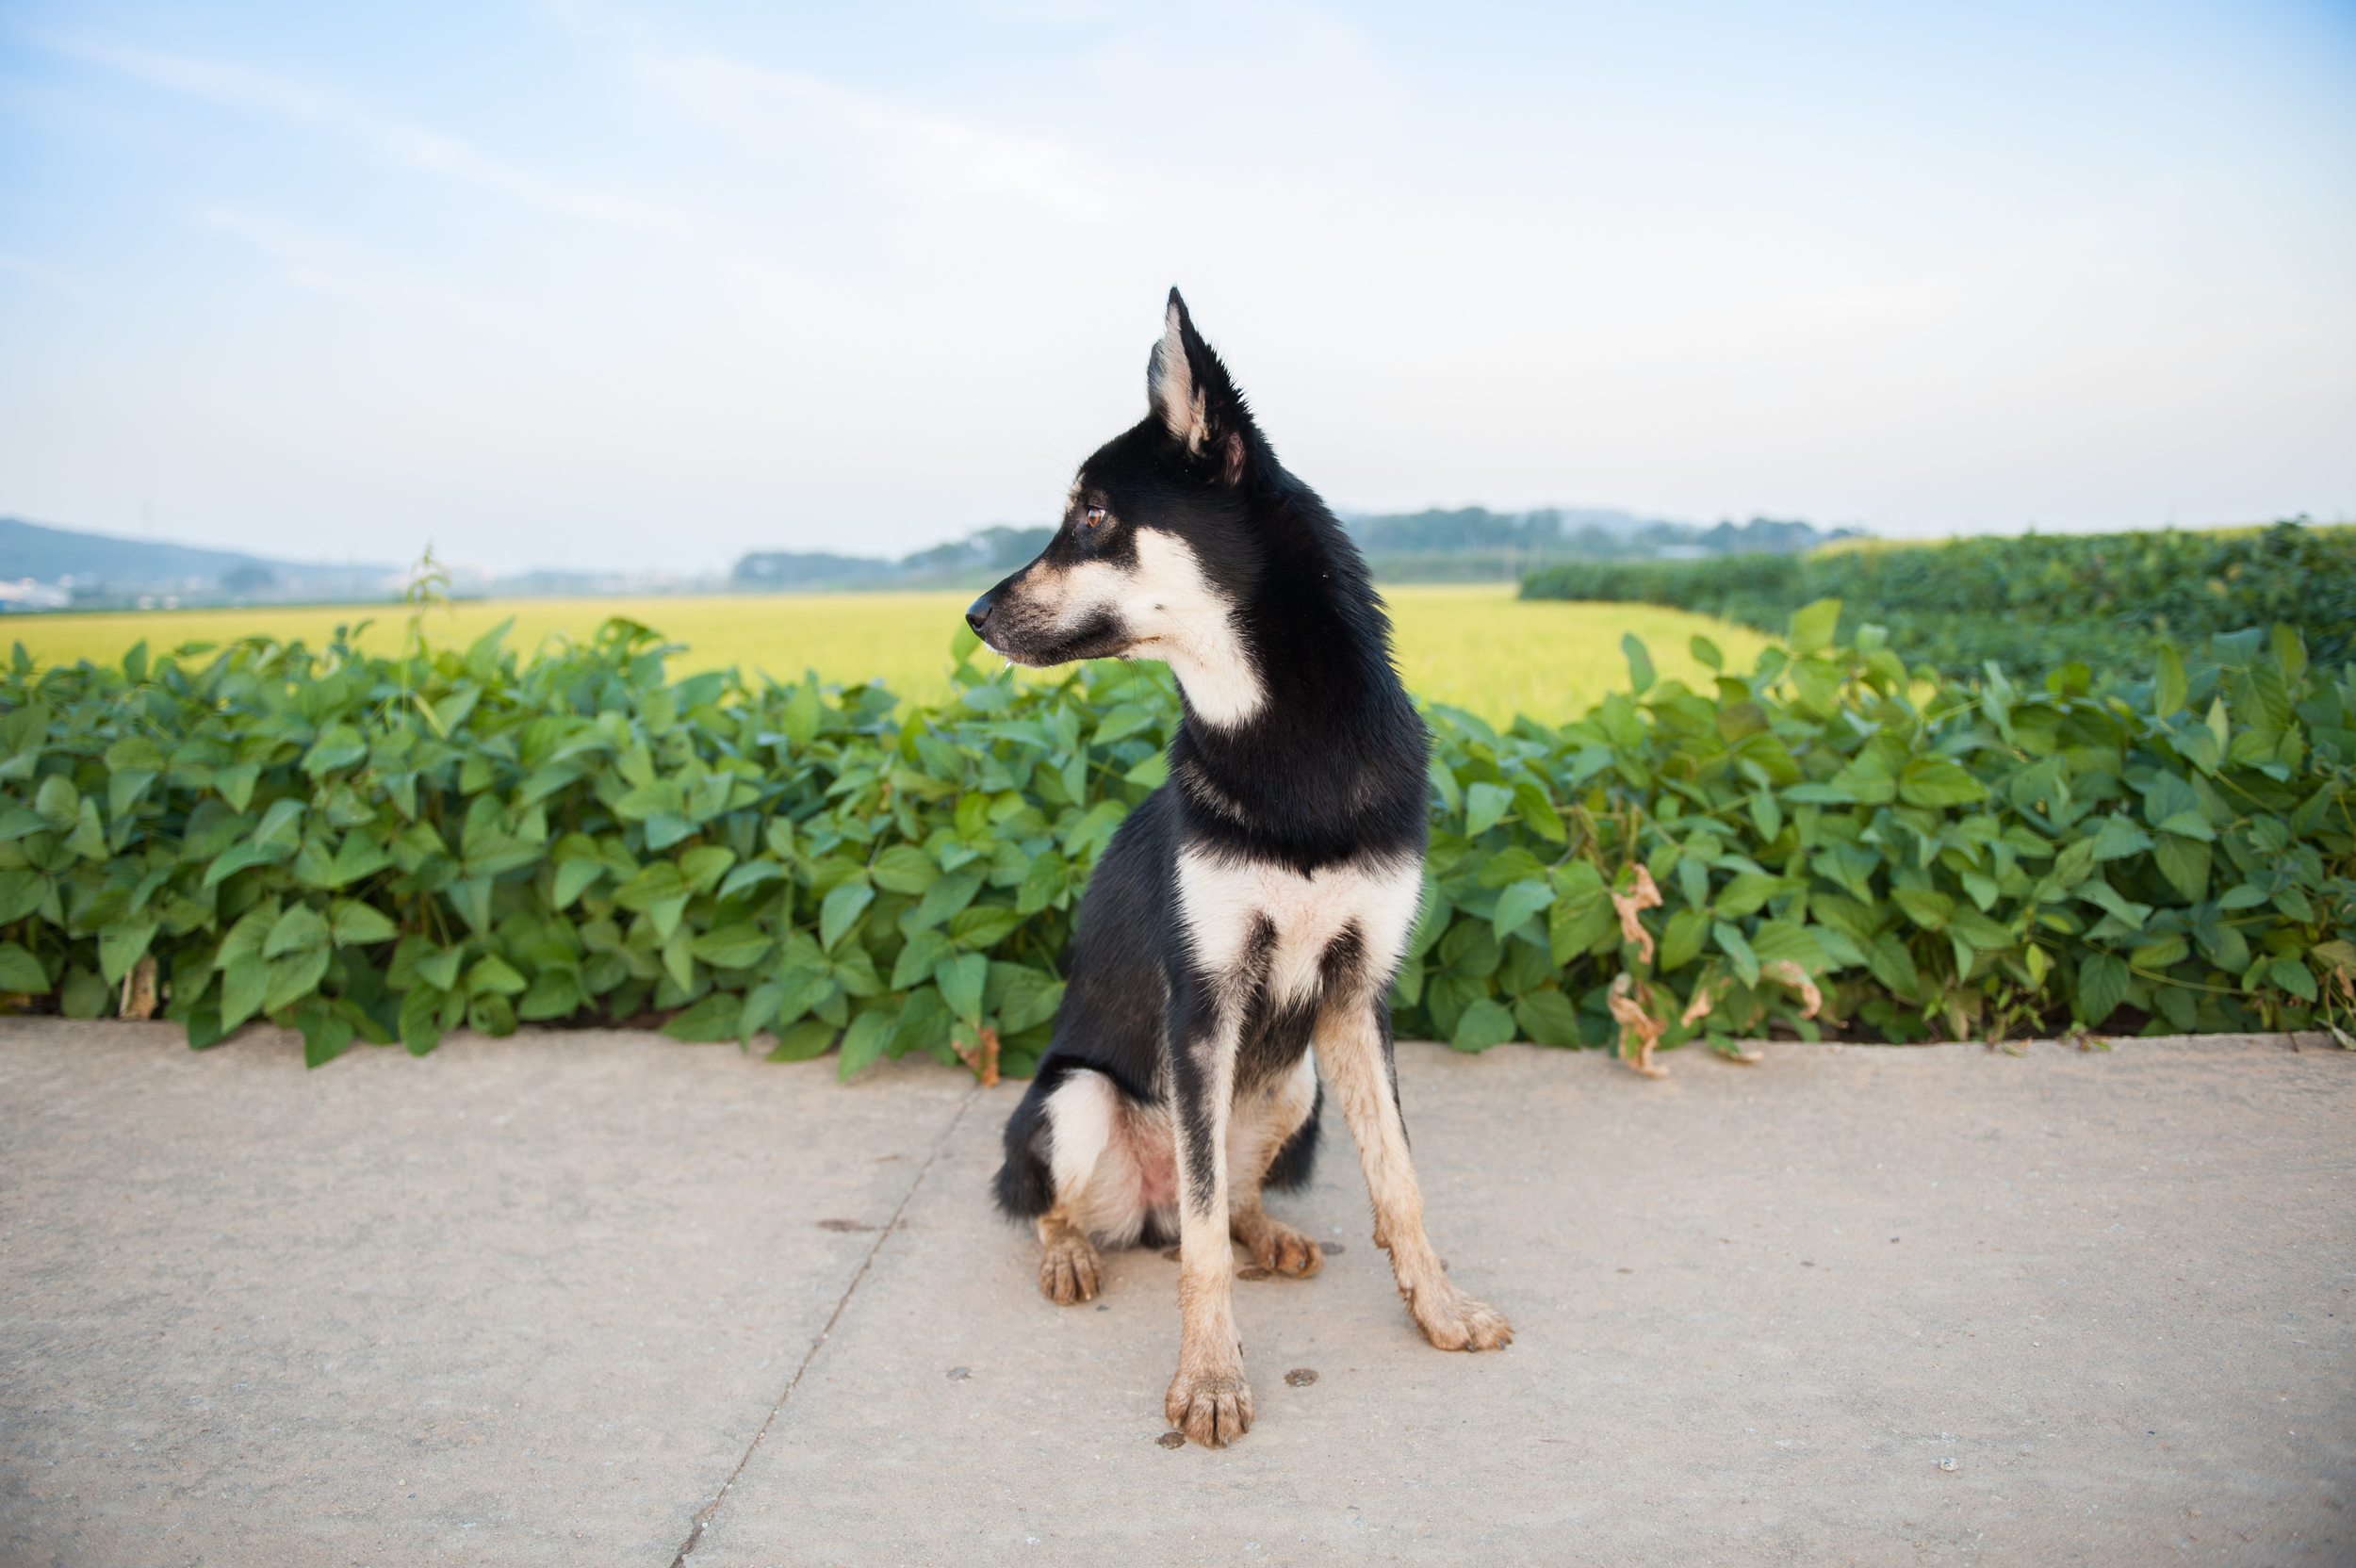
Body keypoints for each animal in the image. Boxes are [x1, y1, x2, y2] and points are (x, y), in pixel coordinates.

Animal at [971, 289, 1508, 1441]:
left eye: (1092, 515)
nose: (974, 616)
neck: (1285, 745)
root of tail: (1144, 1209)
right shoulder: (1202, 1006)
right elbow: (1205, 1240)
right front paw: (1212, 1377)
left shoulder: (1357, 995)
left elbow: (1399, 1182)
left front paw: (1438, 1309)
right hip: (1075, 1099)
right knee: (1083, 1209)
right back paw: (1073, 1252)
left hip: (1295, 1075)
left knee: (1231, 1200)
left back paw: (1272, 1232)